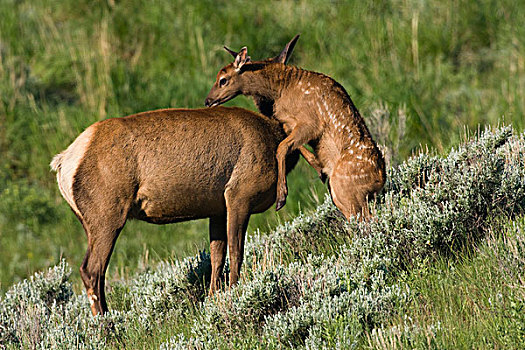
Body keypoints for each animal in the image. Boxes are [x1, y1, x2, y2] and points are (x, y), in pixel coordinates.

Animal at [53, 106, 300, 314]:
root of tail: (62, 163)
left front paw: (213, 298)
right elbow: (236, 253)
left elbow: (217, 256)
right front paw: (234, 294)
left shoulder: (218, 209)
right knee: (91, 270)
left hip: (91, 222)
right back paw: (106, 324)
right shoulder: (239, 197)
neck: (273, 136)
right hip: (107, 217)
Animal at [205, 34, 384, 219]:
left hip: (346, 189)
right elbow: (289, 144)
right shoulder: (288, 123)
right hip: (340, 194)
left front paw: (281, 198)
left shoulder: (311, 121)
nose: (208, 101)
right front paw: (319, 168)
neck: (281, 90)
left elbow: (282, 147)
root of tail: (380, 179)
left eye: (223, 80)